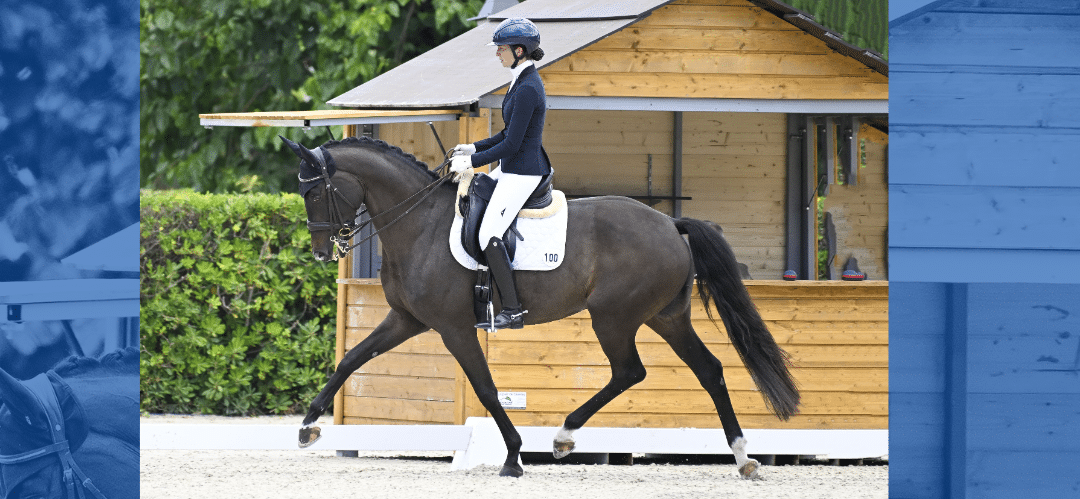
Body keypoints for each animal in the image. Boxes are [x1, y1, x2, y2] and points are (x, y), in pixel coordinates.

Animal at [282, 134, 799, 477]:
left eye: (314, 191)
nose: (322, 252)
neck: (420, 224)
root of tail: (671, 224)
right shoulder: (406, 319)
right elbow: (352, 358)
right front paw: (308, 427)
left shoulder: (453, 328)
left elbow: (487, 389)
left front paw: (512, 455)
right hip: (664, 317)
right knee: (708, 369)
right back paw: (743, 457)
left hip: (614, 317)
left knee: (630, 371)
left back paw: (563, 437)